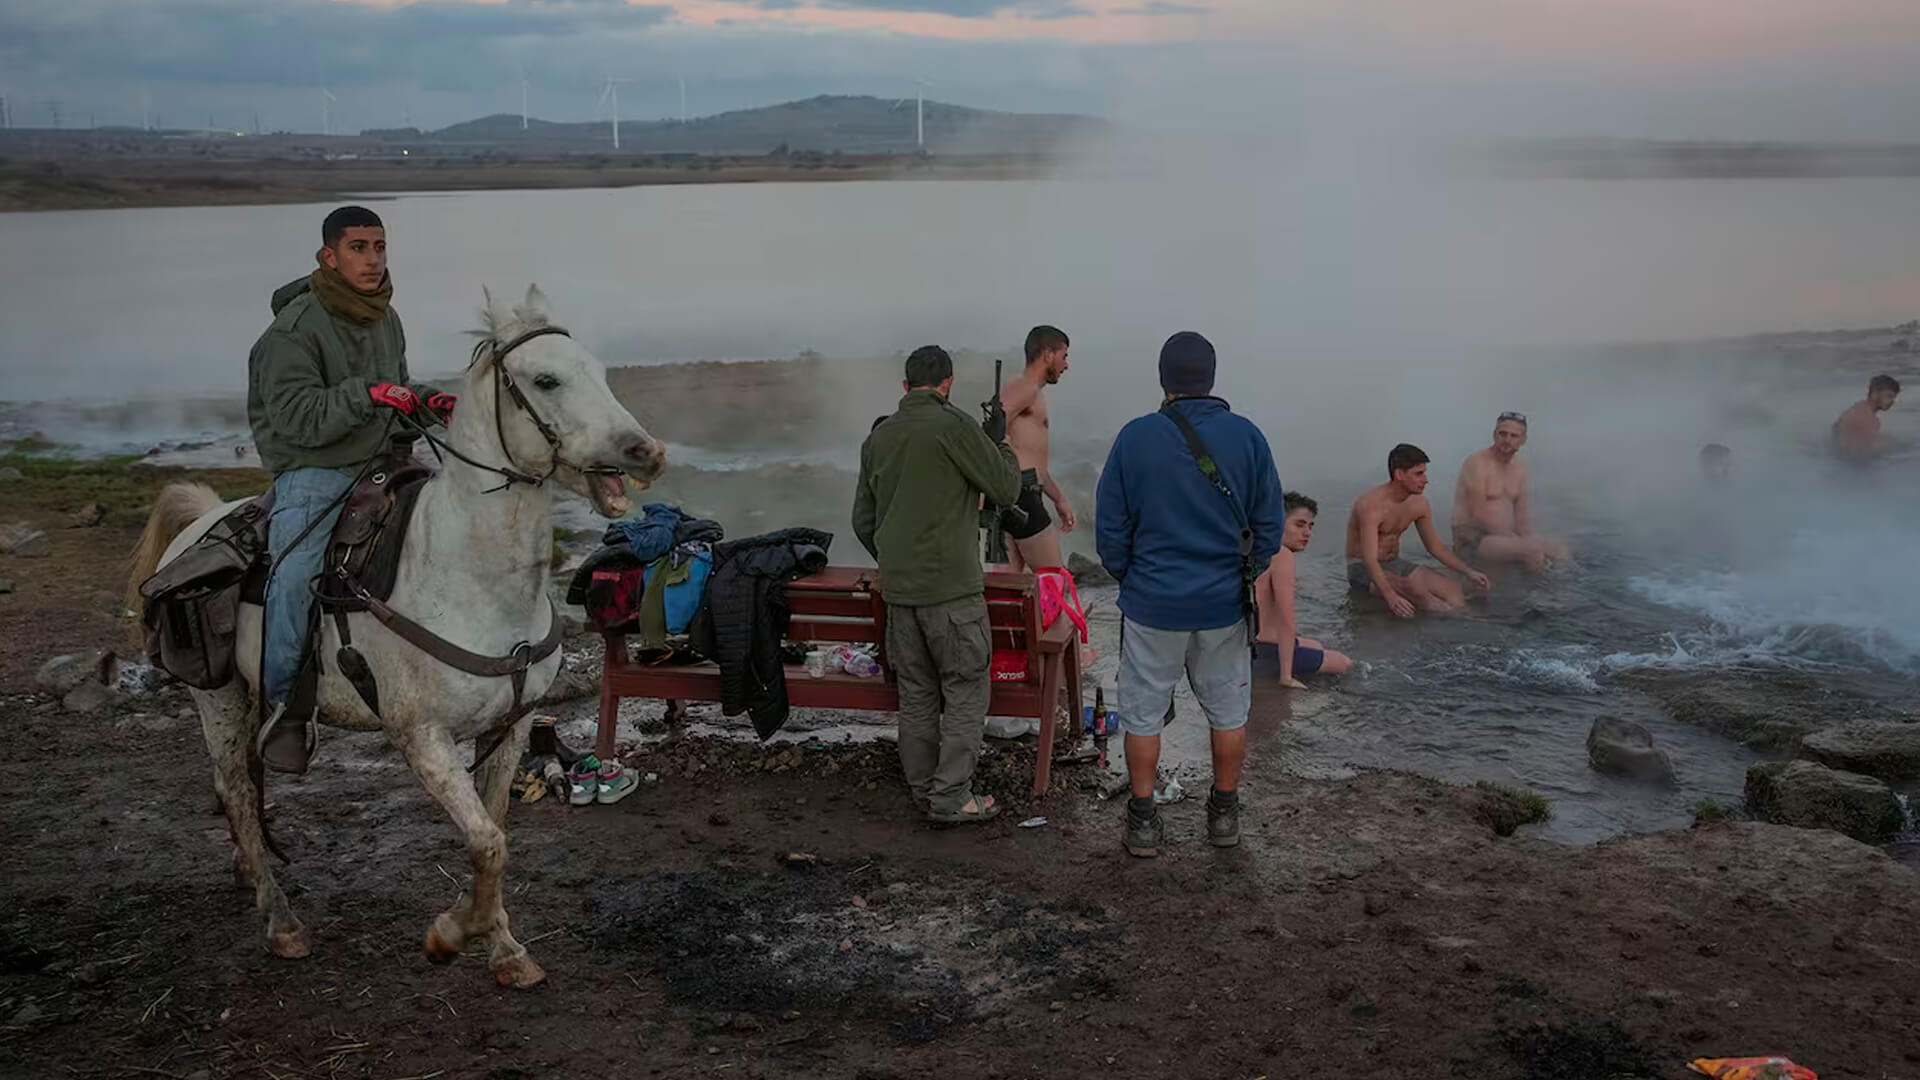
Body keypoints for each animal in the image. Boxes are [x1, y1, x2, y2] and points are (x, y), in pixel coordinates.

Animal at [129, 284, 660, 983]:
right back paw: (282, 922)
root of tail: (203, 522)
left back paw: (250, 872)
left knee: (237, 786)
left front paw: (503, 949)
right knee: (239, 793)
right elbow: (487, 842)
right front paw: (449, 935)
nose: (645, 452)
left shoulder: (512, 724)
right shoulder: (421, 737)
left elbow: (495, 835)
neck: (470, 574)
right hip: (217, 699)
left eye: (600, 370)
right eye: (545, 379)